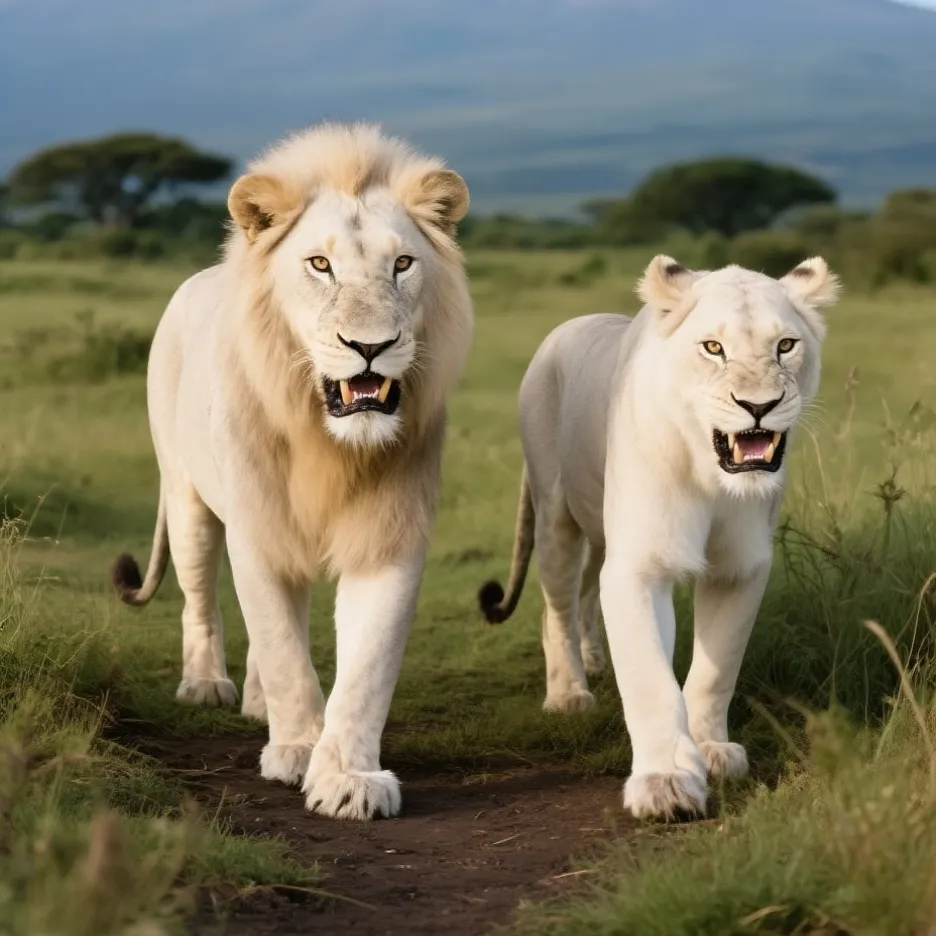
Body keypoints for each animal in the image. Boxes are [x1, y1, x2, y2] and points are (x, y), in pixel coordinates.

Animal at [110, 122, 473, 820]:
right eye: (320, 265)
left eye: (403, 264)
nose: (371, 347)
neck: (328, 443)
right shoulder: (257, 528)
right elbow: (281, 647)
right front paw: (298, 751)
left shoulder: (391, 536)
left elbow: (366, 668)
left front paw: (349, 779)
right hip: (189, 500)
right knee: (201, 598)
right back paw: (208, 684)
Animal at [478, 255, 839, 820]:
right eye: (712, 347)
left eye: (785, 345)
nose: (759, 405)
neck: (711, 474)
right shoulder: (640, 564)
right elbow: (650, 678)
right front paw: (665, 784)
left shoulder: (741, 567)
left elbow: (717, 668)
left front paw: (712, 749)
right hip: (555, 513)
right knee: (556, 605)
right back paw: (568, 694)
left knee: (585, 593)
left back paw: (594, 660)